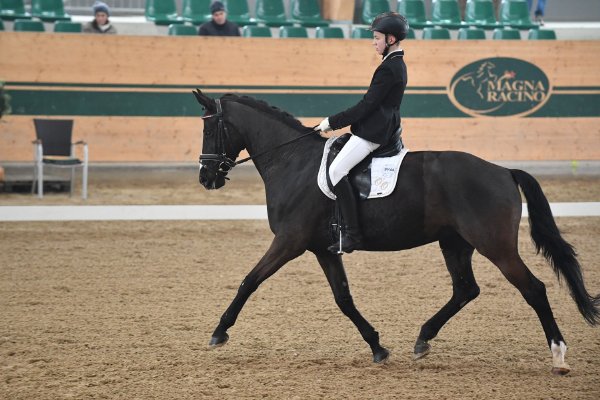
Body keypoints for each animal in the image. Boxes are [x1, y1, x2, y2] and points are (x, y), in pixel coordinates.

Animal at [195, 90, 596, 376]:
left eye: (209, 128)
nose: (206, 178)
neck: (293, 163)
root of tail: (503, 171)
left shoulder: (289, 242)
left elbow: (249, 280)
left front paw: (219, 332)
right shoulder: (323, 249)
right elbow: (344, 299)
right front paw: (377, 347)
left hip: (495, 246)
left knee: (533, 289)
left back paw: (559, 356)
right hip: (455, 242)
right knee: (466, 289)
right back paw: (422, 339)